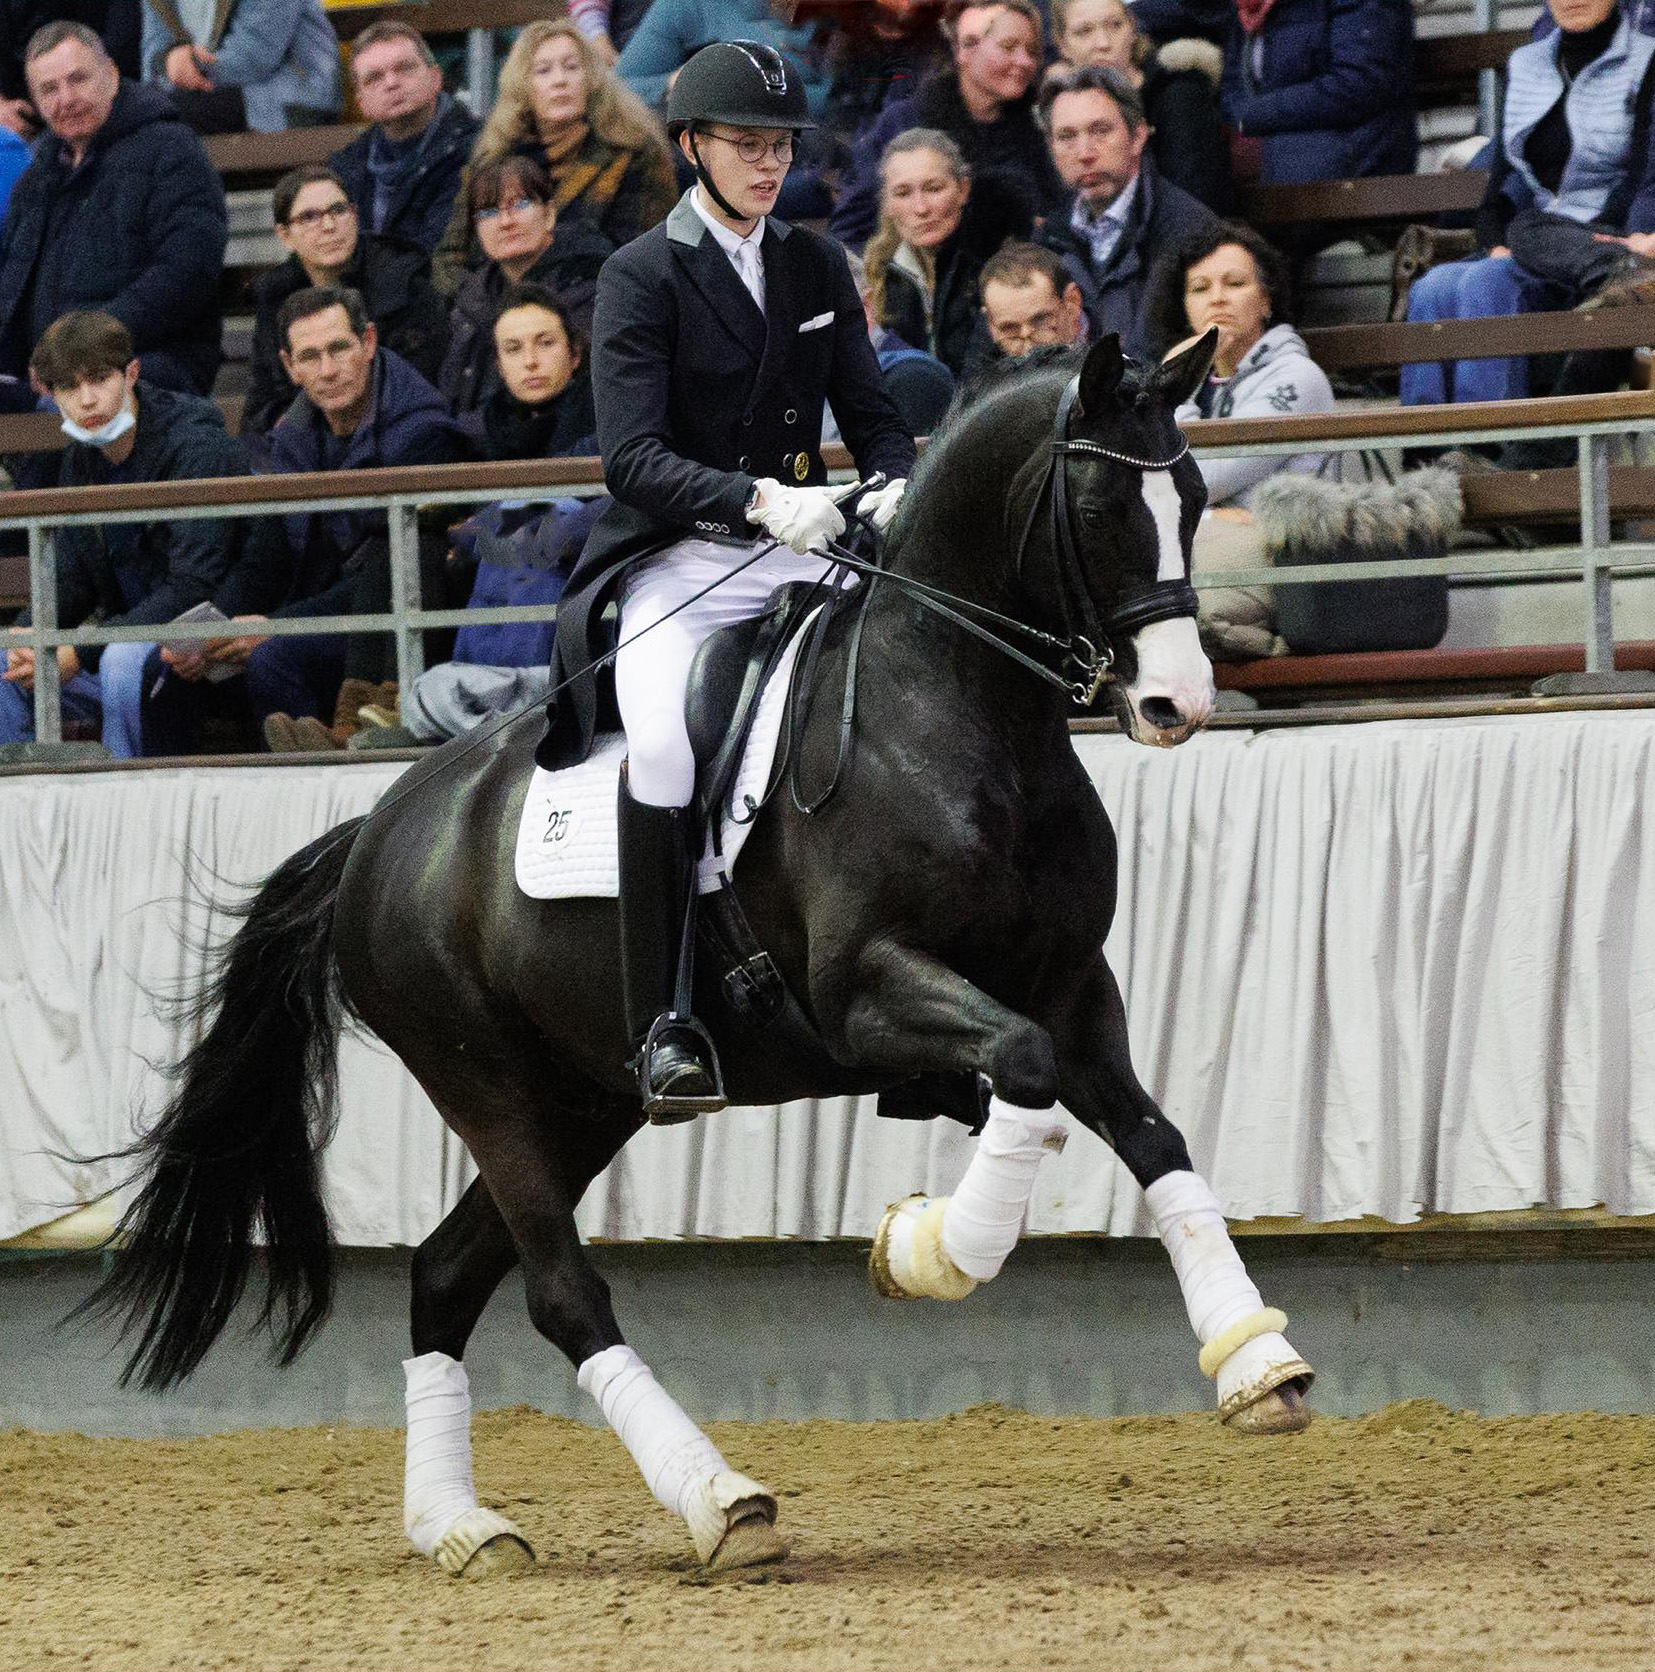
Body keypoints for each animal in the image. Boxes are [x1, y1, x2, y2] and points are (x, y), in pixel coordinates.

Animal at [87, 336, 1310, 1578]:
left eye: (1196, 499)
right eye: (1104, 505)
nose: (1175, 700)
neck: (955, 721)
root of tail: (377, 834)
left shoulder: (1070, 985)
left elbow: (1149, 1134)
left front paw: (1252, 1361)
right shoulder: (864, 994)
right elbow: (1016, 1066)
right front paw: (934, 1249)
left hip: (582, 1098)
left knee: (443, 1274)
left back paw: (462, 1526)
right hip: (485, 1087)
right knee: (560, 1294)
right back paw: (719, 1502)